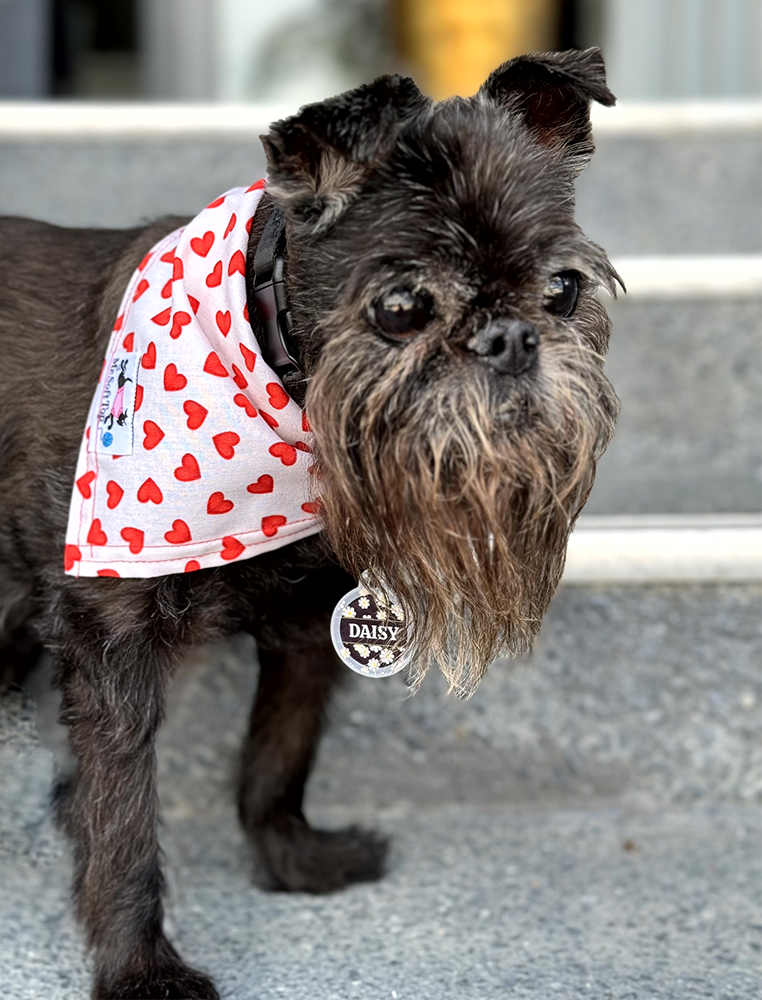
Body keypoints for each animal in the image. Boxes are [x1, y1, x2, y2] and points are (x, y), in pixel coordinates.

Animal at [0, 50, 616, 1000]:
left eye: (563, 288)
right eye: (400, 305)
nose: (512, 337)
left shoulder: (305, 629)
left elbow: (278, 757)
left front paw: (292, 861)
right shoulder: (113, 652)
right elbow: (122, 820)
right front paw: (142, 969)